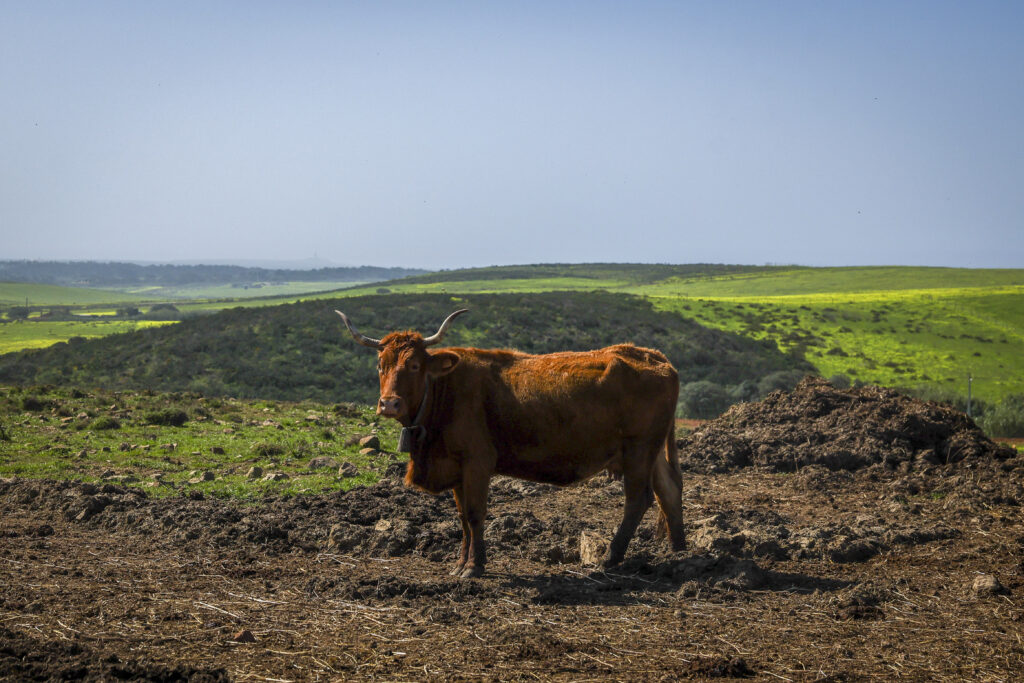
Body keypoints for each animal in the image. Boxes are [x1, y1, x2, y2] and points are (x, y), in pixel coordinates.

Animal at [335, 308, 686, 577]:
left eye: (414, 365)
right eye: (381, 365)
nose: (388, 404)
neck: (443, 392)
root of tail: (652, 355)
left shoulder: (477, 462)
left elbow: (475, 513)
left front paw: (474, 566)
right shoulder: (457, 468)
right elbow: (462, 517)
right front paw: (460, 563)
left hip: (639, 450)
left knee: (638, 499)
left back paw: (612, 557)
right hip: (651, 452)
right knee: (668, 490)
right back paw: (678, 552)